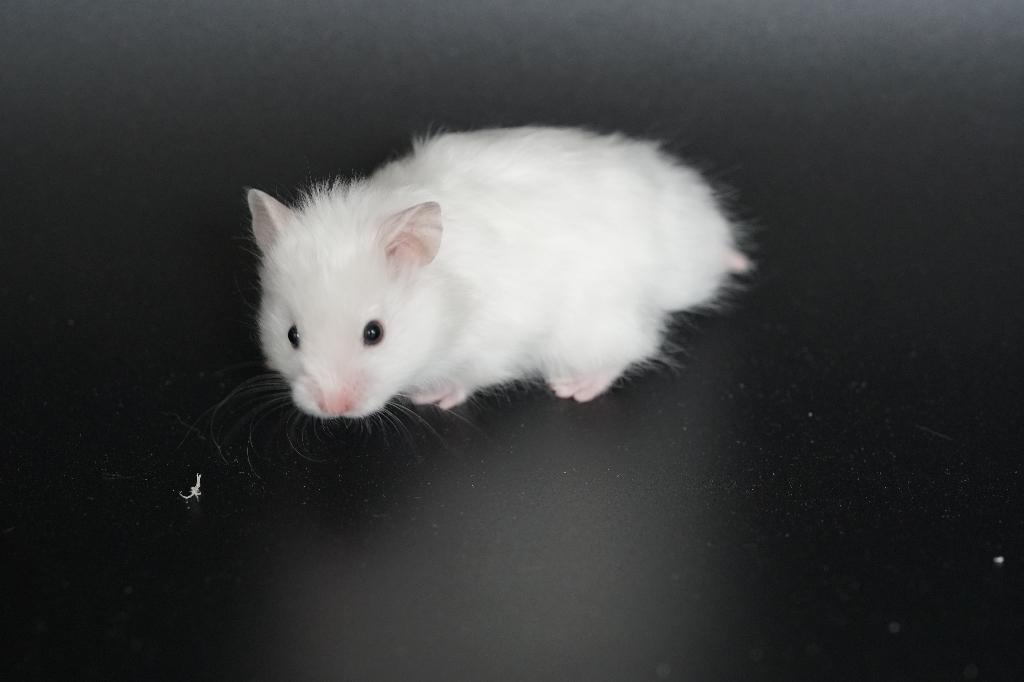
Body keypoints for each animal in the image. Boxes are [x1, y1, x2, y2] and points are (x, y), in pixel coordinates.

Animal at [248, 126, 749, 419]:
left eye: (375, 333)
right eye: (292, 336)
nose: (331, 409)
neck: (449, 305)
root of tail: (703, 241)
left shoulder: (494, 346)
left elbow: (469, 377)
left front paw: (433, 398)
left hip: (598, 323)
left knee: (636, 346)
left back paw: (573, 387)